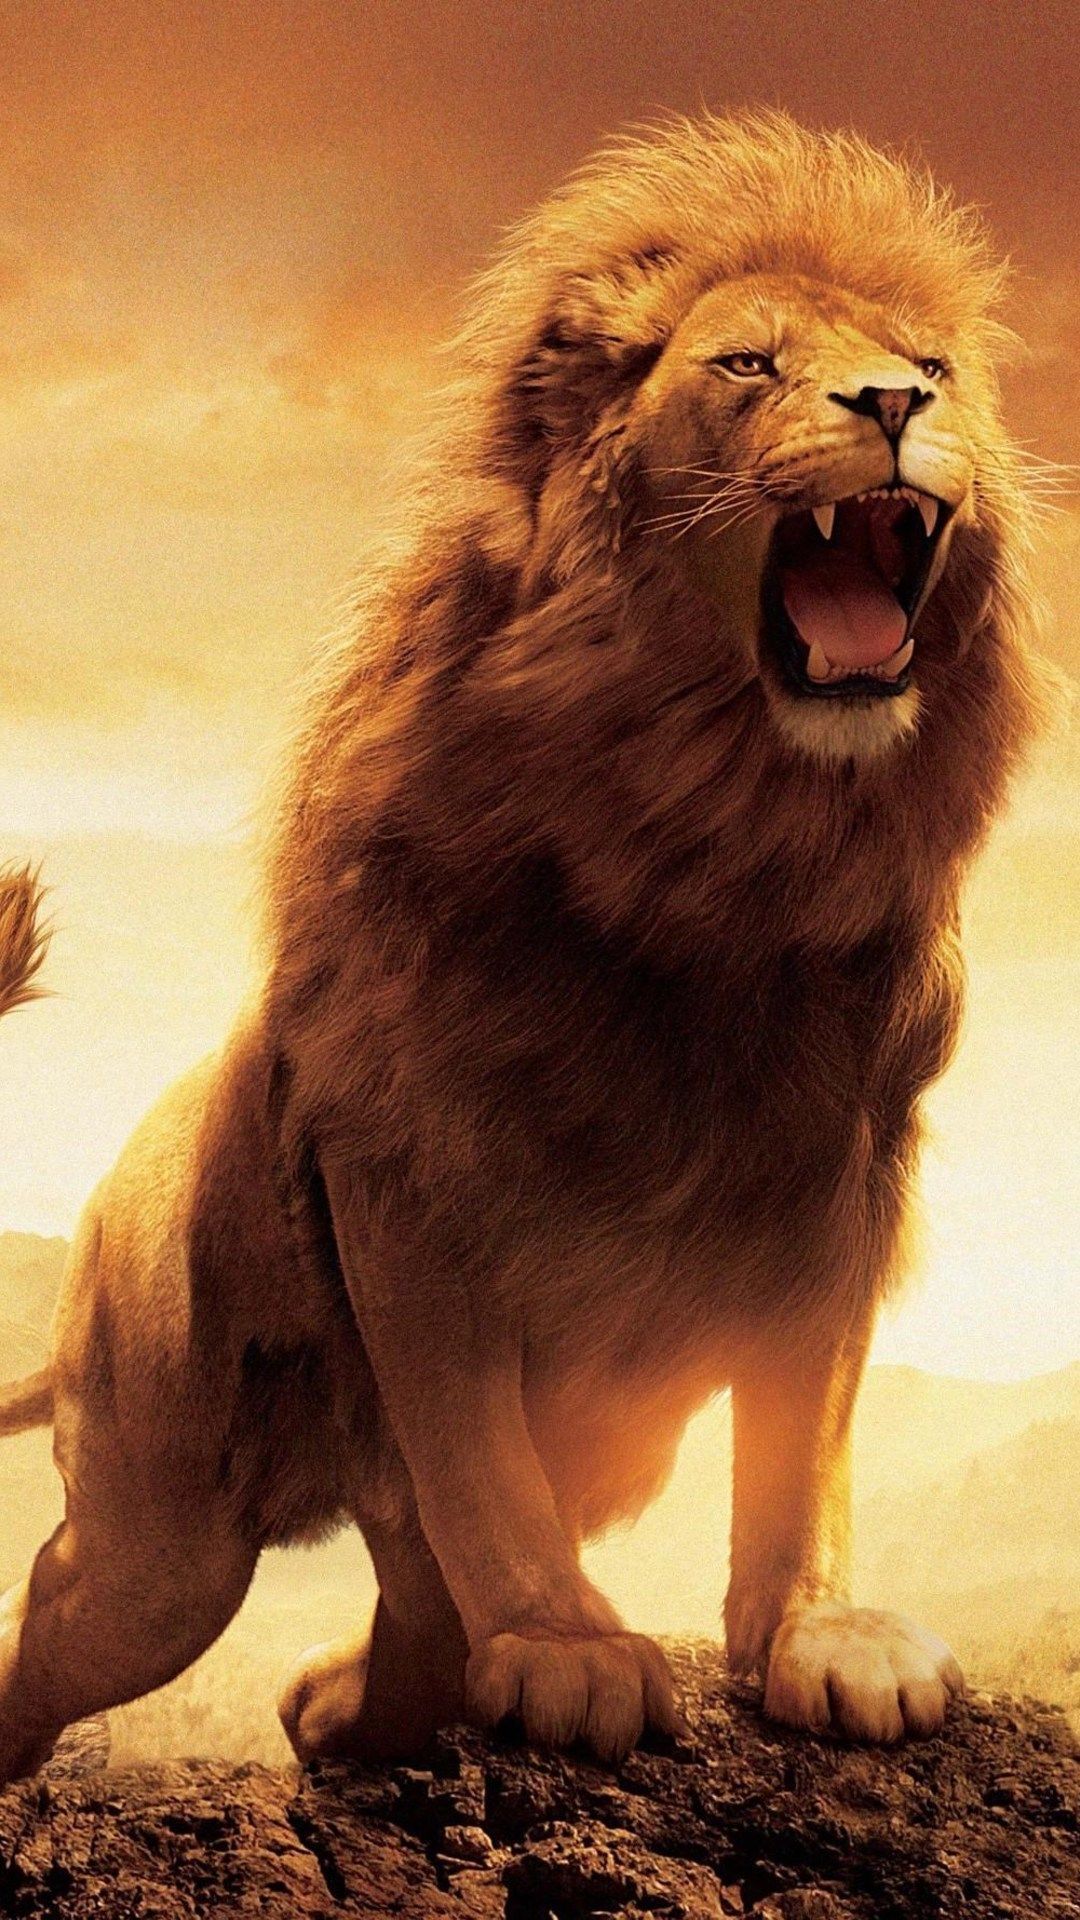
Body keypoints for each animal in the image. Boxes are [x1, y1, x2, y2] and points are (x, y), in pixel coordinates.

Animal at [0, 112, 1048, 1781]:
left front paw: (823, 1636)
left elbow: (801, 1443)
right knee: (71, 1610)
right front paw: (565, 1649)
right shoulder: (407, 1170)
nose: (892, 405)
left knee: (401, 1597)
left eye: (933, 367)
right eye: (747, 364)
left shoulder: (838, 1173)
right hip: (161, 1543)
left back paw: (346, 1708)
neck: (719, 848)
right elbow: (478, 1457)